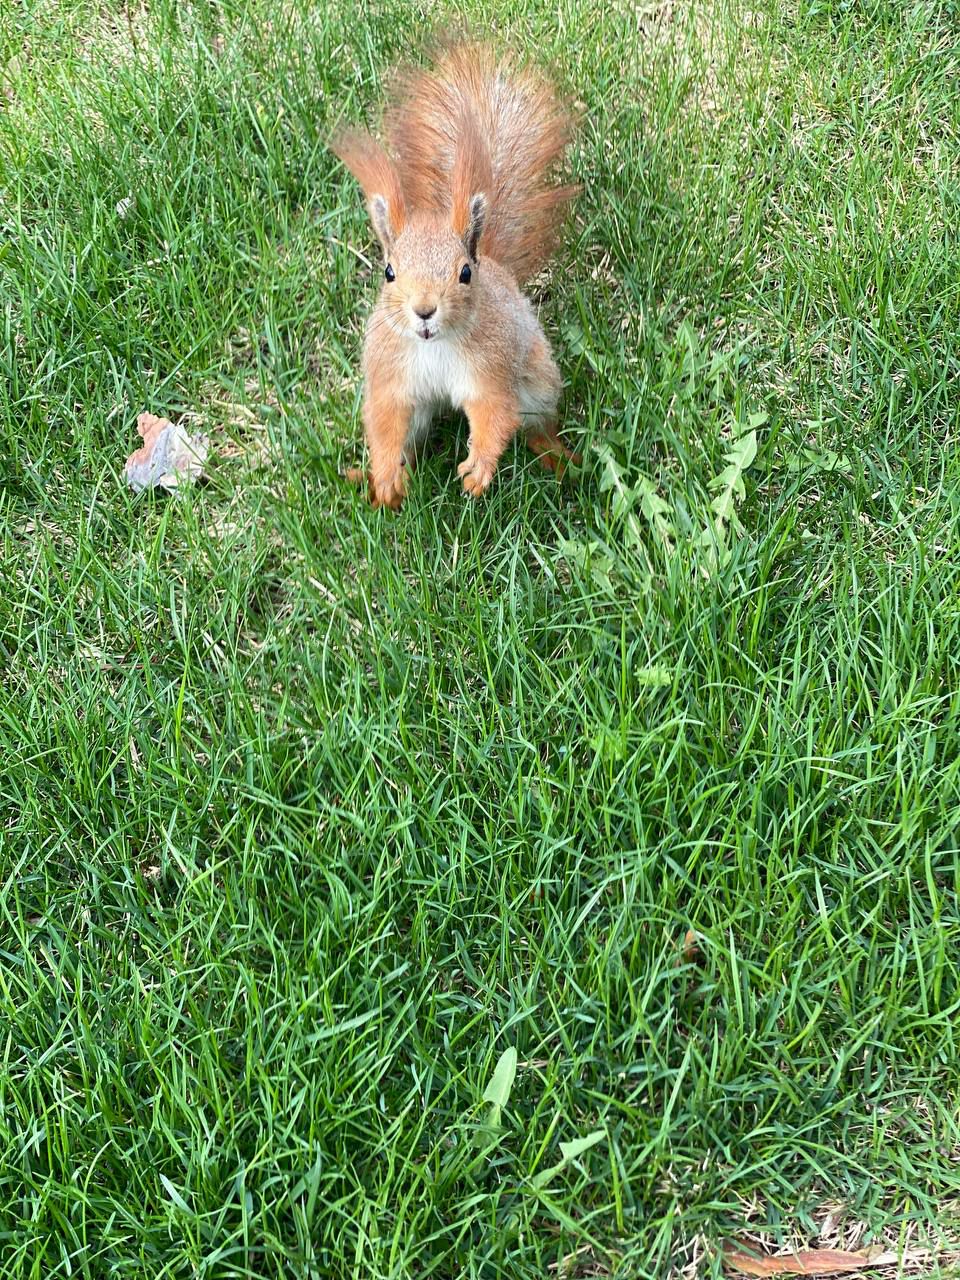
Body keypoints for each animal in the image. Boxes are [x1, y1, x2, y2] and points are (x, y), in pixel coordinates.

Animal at [332, 41, 578, 509]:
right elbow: (385, 419)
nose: (424, 310)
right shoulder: (390, 372)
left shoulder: (491, 367)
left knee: (535, 425)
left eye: (464, 272)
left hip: (536, 383)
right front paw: (385, 476)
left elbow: (494, 413)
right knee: (409, 440)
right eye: (389, 272)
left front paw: (478, 469)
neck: (435, 348)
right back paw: (375, 480)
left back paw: (559, 460)